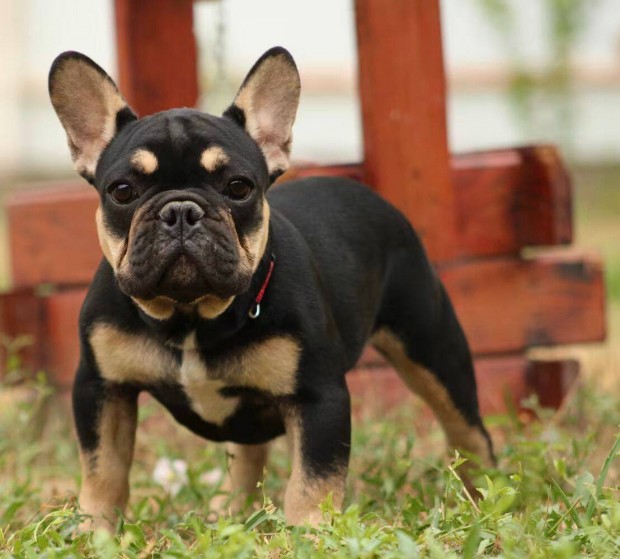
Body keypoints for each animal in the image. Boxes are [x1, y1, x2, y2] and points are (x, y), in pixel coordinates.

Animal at [48, 47, 494, 528]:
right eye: (122, 191)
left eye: (238, 187)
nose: (181, 210)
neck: (191, 318)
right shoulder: (101, 388)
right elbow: (104, 471)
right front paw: (95, 530)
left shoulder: (319, 397)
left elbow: (312, 481)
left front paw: (310, 532)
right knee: (247, 454)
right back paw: (231, 511)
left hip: (431, 349)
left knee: (468, 430)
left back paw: (484, 496)